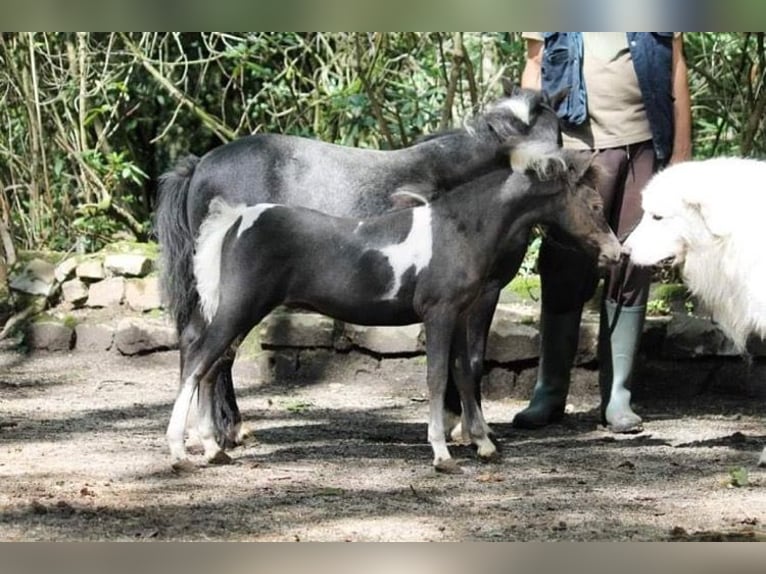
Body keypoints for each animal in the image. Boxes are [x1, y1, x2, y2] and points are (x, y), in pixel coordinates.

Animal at [170, 151, 624, 474]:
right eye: (595, 205)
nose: (617, 254)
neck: (459, 229)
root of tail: (234, 220)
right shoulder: (439, 314)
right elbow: (437, 377)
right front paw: (442, 453)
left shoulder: (459, 315)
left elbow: (464, 373)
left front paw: (483, 444)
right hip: (239, 309)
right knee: (198, 362)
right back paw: (179, 452)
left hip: (239, 313)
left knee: (212, 366)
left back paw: (213, 449)